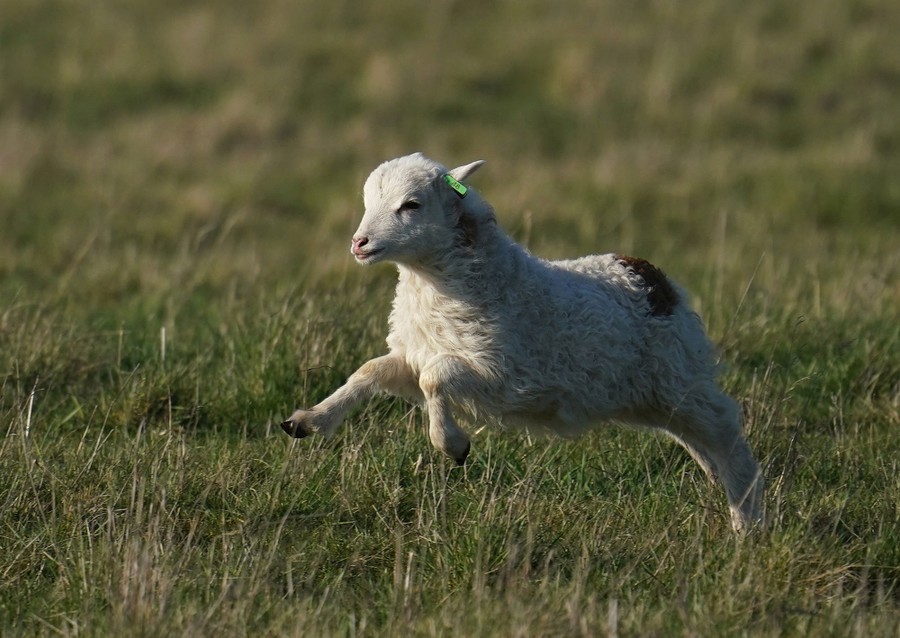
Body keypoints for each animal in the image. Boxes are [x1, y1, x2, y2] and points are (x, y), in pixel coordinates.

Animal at [281, 152, 764, 533]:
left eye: (411, 205)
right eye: (368, 202)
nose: (359, 243)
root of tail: (650, 276)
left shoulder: (503, 372)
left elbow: (437, 379)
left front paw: (452, 445)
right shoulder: (413, 355)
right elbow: (371, 372)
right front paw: (308, 420)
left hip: (680, 377)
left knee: (728, 435)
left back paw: (747, 521)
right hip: (651, 396)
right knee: (701, 442)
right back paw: (725, 491)